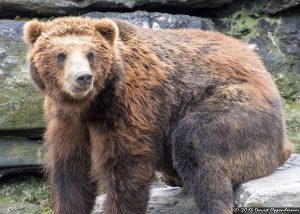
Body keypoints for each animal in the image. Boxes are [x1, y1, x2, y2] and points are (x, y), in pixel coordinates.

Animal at [23, 17, 292, 214]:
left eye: (91, 54)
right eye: (60, 54)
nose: (83, 77)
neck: (92, 104)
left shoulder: (131, 107)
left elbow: (127, 170)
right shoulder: (68, 121)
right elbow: (71, 172)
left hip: (237, 107)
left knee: (196, 145)